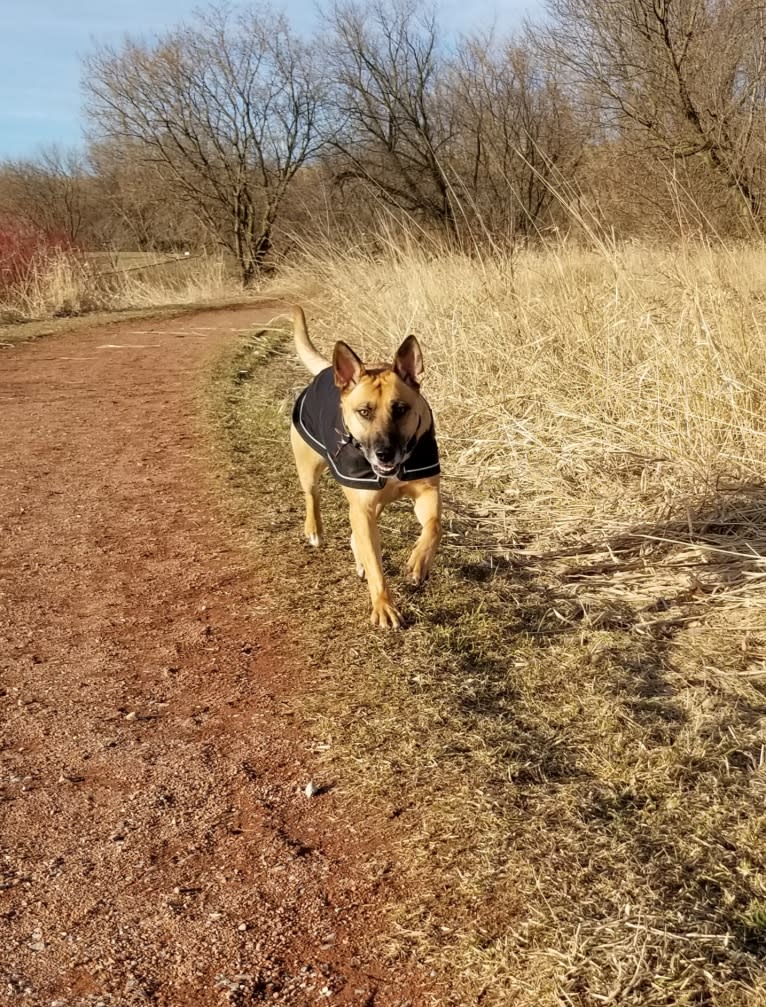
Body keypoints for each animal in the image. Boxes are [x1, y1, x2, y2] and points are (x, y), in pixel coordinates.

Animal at [285, 304, 442, 628]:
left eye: (400, 409)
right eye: (364, 412)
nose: (384, 454)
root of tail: (325, 371)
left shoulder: (426, 492)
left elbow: (434, 525)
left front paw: (419, 562)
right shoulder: (363, 508)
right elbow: (376, 568)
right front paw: (383, 606)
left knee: (355, 534)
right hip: (310, 467)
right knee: (312, 495)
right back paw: (314, 530)